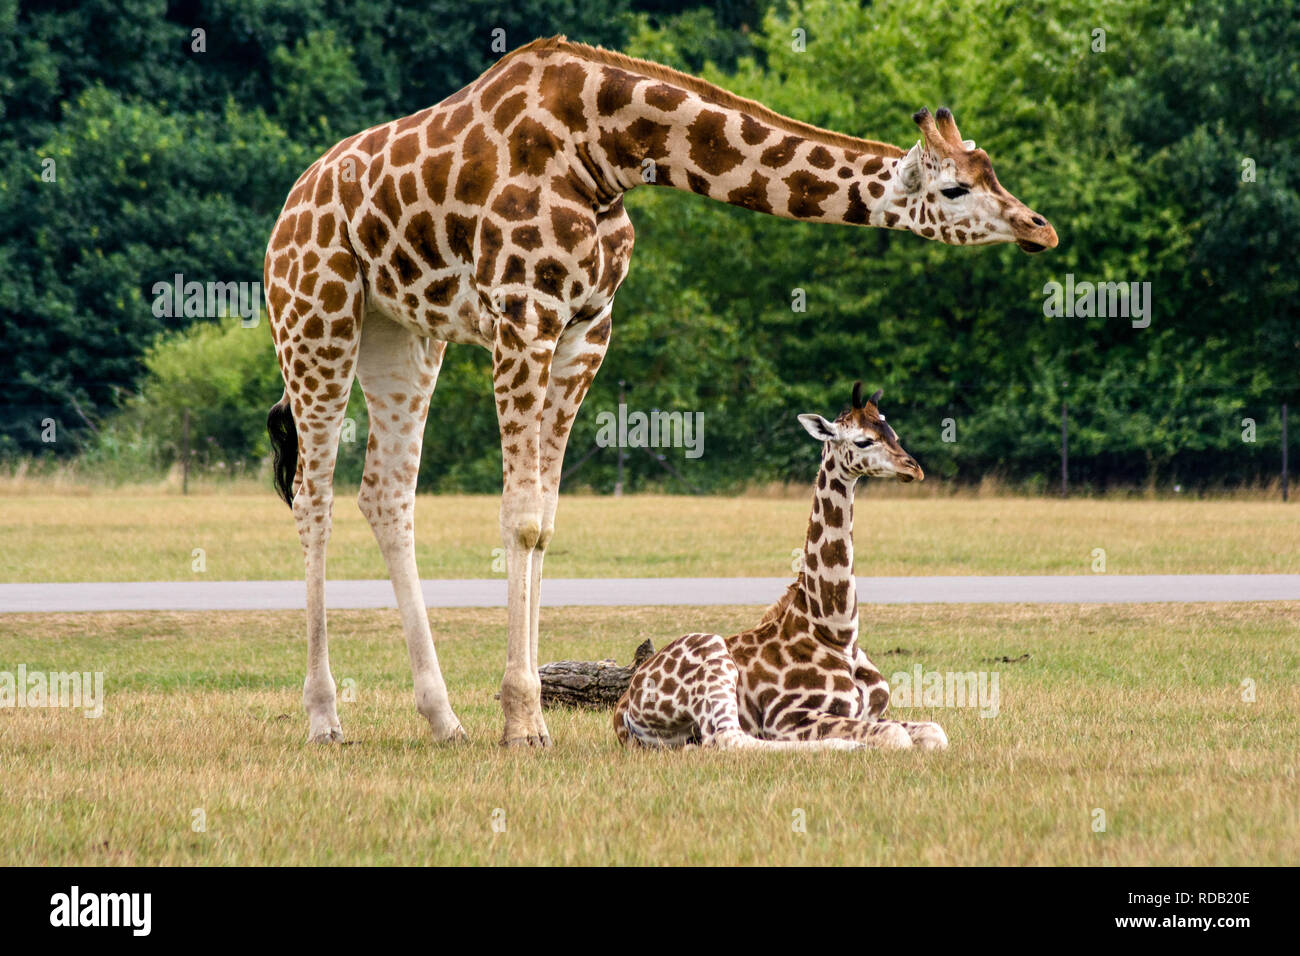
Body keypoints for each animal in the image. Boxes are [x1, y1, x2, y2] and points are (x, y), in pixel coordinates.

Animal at [613, 385, 951, 749]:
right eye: (863, 441)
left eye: (894, 435)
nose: (913, 469)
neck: (837, 633)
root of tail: (622, 710)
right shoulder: (786, 716)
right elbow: (895, 735)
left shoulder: (870, 713)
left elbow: (935, 731)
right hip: (711, 654)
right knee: (731, 739)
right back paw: (846, 745)